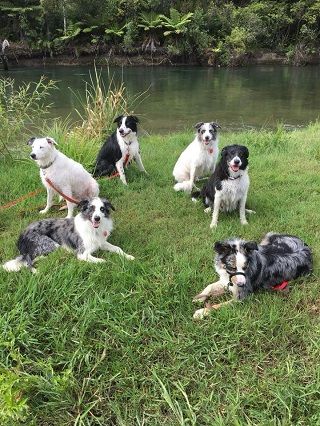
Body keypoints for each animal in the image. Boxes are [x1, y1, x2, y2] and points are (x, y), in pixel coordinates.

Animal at [1, 196, 134, 272]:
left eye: (102, 209)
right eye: (91, 208)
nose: (97, 218)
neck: (93, 228)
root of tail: (21, 236)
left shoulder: (101, 243)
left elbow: (117, 248)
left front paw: (128, 256)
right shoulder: (82, 253)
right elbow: (101, 260)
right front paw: (107, 262)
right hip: (51, 245)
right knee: (29, 261)